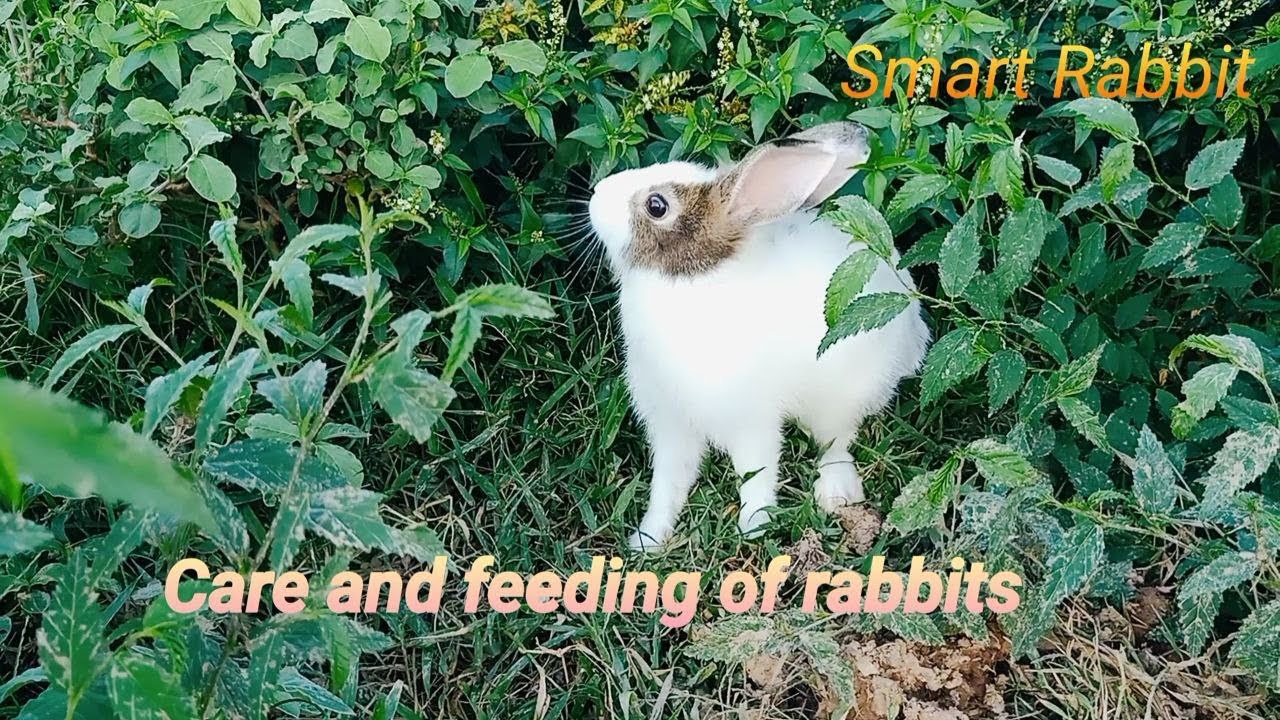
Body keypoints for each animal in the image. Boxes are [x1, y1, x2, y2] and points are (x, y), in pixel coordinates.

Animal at [587, 121, 930, 552]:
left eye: (657, 206)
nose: (596, 193)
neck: (688, 282)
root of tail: (915, 328)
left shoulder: (751, 421)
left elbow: (757, 473)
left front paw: (754, 527)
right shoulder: (669, 424)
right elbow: (667, 486)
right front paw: (647, 539)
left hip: (842, 395)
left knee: (836, 442)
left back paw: (835, 492)